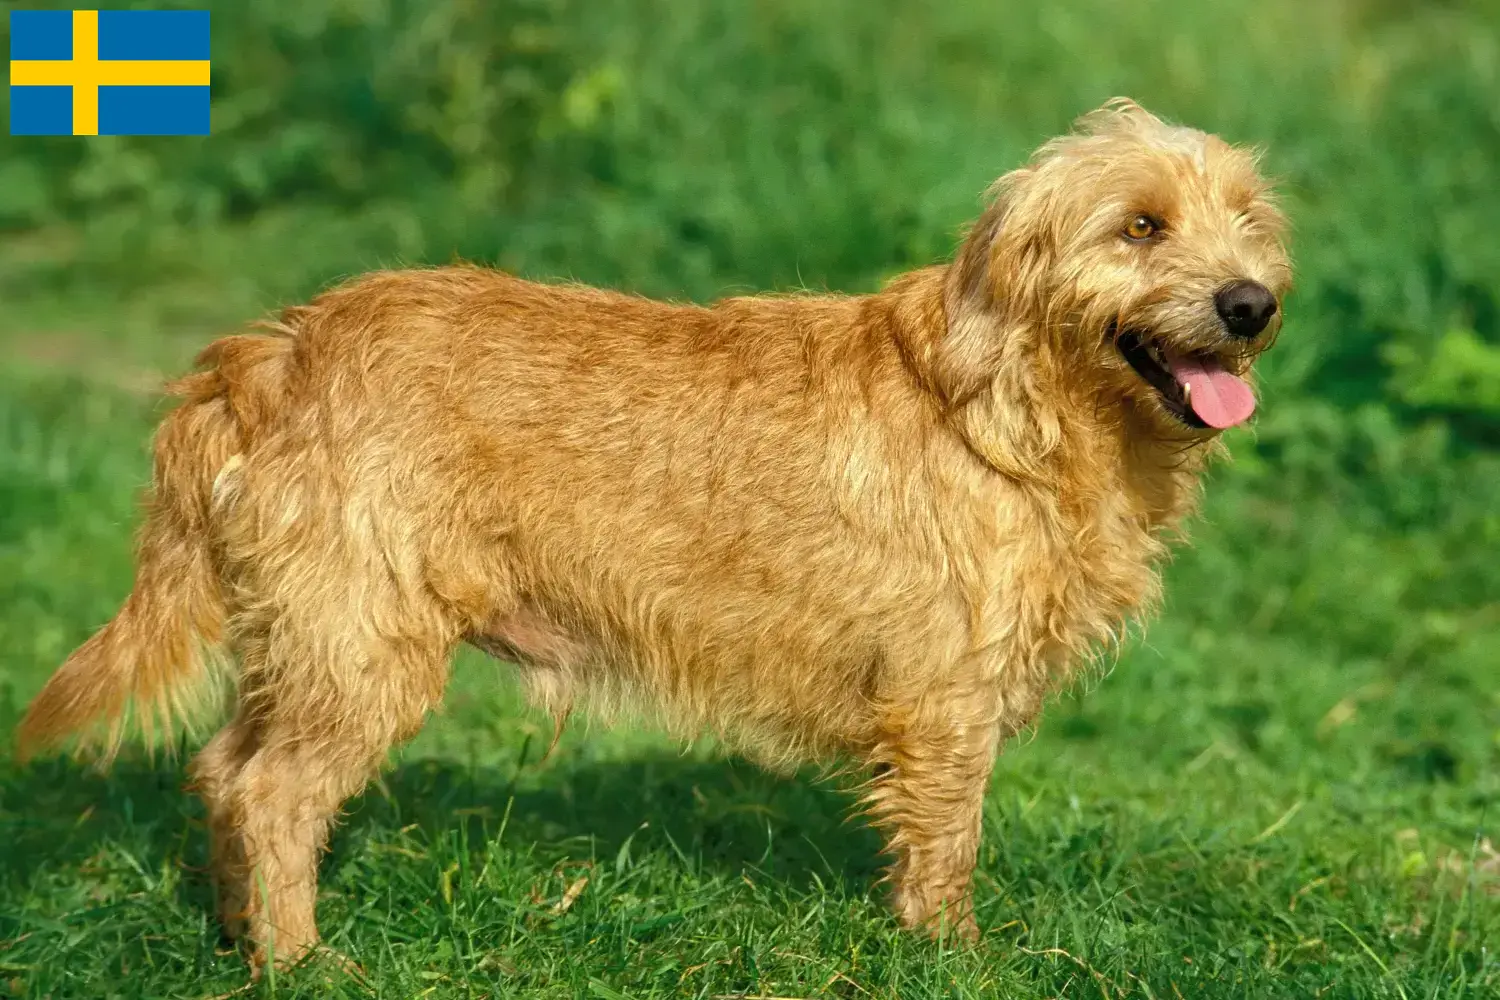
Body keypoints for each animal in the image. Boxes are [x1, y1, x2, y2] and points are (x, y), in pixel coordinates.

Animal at [17, 99, 1290, 971]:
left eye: (1248, 222)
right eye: (1139, 225)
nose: (1252, 303)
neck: (1015, 404)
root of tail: (275, 351)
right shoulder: (946, 703)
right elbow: (946, 848)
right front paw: (954, 961)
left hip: (302, 643)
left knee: (223, 772)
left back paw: (239, 937)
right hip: (362, 651)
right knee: (273, 794)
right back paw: (302, 961)